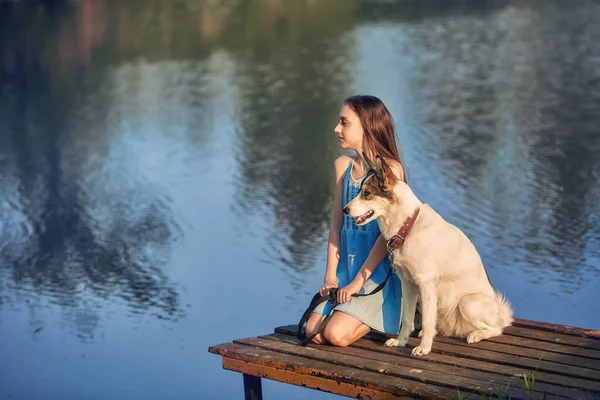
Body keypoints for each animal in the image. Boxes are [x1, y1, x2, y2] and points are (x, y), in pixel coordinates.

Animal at [344, 154, 512, 356]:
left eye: (367, 193)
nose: (345, 210)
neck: (407, 226)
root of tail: (499, 312)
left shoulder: (426, 284)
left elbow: (426, 321)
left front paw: (424, 349)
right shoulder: (408, 284)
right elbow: (407, 319)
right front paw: (401, 342)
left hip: (467, 303)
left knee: (497, 328)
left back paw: (475, 335)